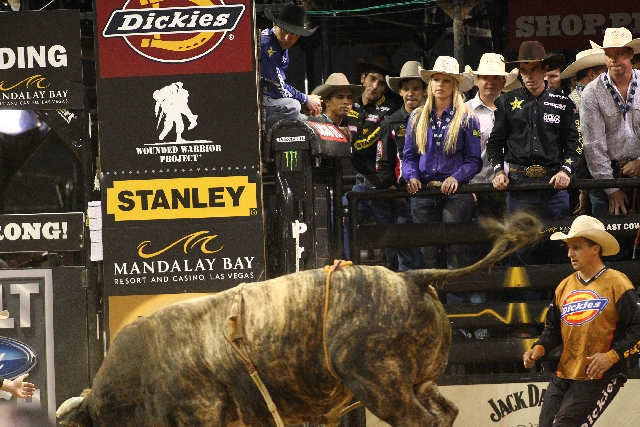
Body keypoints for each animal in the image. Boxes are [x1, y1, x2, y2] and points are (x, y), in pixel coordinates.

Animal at [57, 213, 541, 427]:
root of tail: (411, 278)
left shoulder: (199, 415)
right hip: (418, 381)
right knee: (445, 412)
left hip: (379, 383)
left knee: (420, 421)